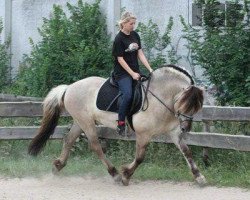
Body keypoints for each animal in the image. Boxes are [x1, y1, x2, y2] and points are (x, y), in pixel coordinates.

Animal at [28, 64, 206, 186]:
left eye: (197, 107)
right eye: (184, 104)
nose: (185, 128)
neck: (159, 97)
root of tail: (69, 87)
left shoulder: (173, 133)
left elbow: (187, 152)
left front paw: (199, 177)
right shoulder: (143, 134)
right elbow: (140, 157)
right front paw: (126, 175)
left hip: (80, 121)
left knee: (69, 140)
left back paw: (57, 166)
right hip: (87, 123)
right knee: (95, 146)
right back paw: (114, 174)